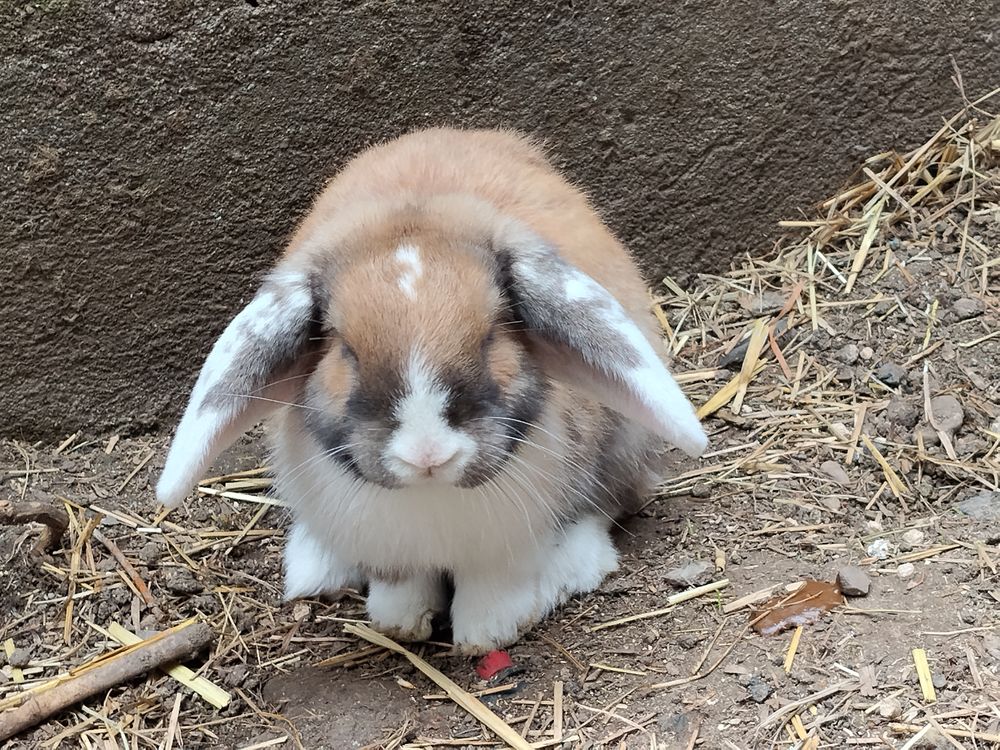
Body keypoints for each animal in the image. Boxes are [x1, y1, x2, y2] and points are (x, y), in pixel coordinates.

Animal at [155, 127, 707, 653]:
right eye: (344, 348)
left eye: (491, 335)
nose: (428, 454)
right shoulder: (389, 549)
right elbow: (401, 586)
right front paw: (400, 621)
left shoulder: (508, 544)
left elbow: (494, 587)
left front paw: (488, 632)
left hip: (622, 443)